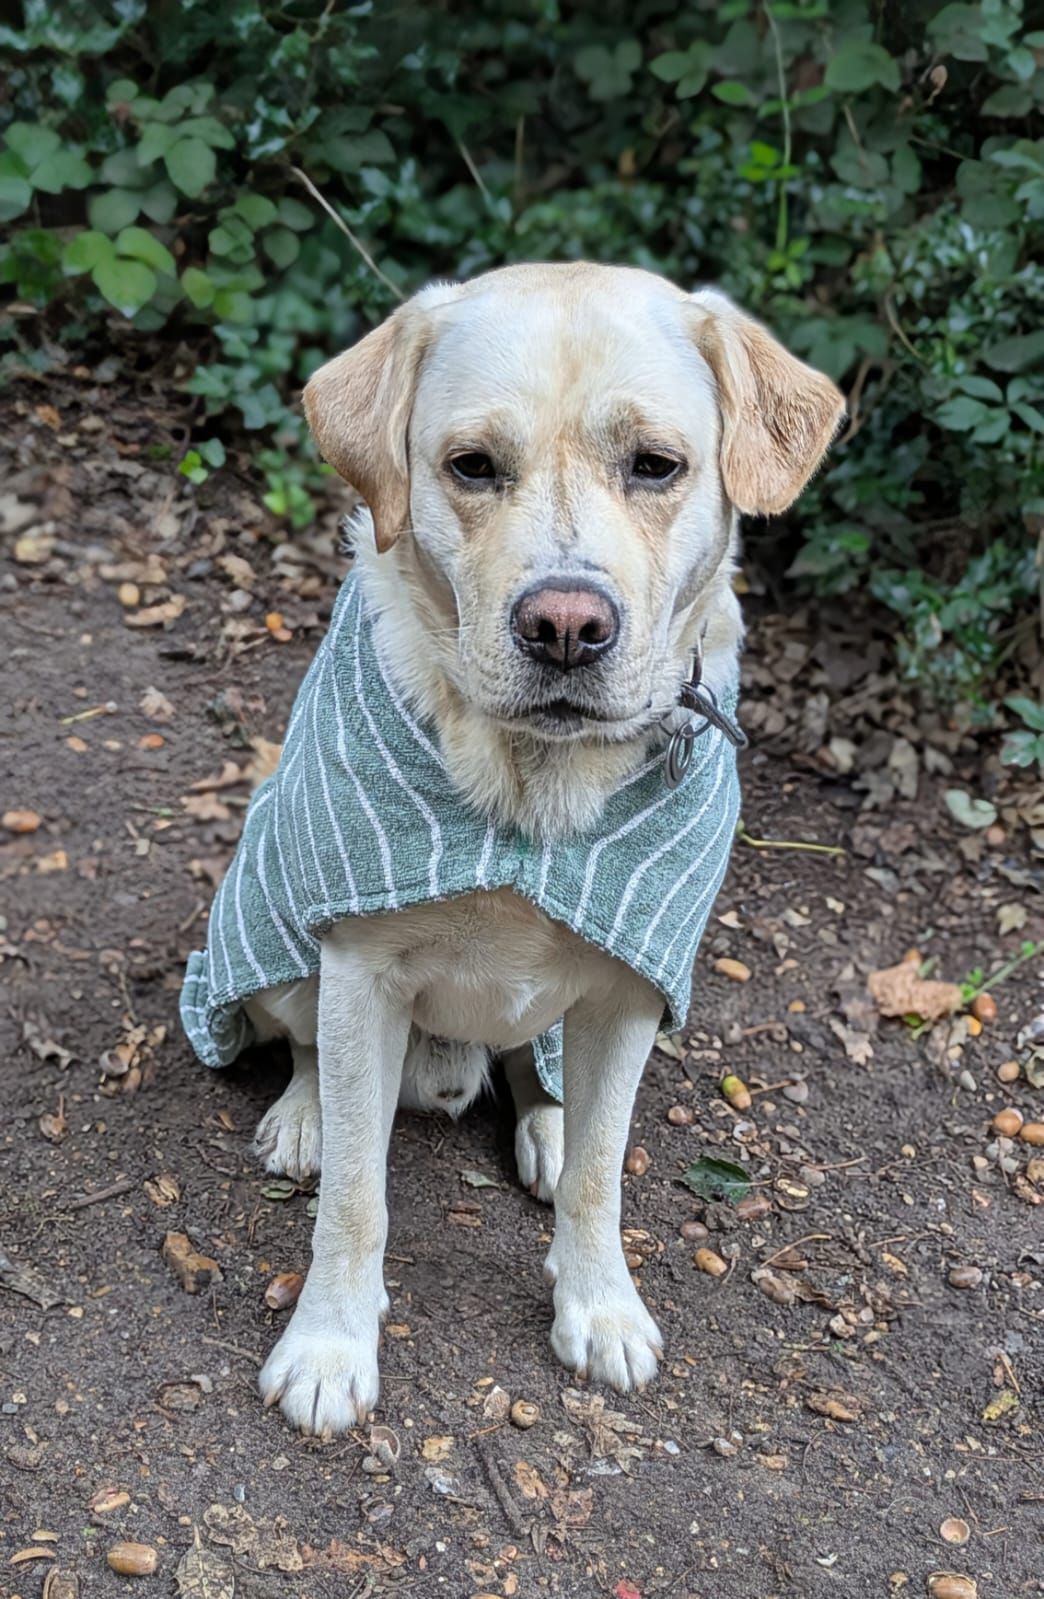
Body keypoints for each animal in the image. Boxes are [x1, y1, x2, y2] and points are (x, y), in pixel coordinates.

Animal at [181, 262, 842, 1436]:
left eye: (656, 465)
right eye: (472, 467)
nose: (567, 626)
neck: (536, 786)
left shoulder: (632, 989)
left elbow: (600, 1177)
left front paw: (601, 1307)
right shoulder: (360, 970)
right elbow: (356, 1196)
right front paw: (329, 1344)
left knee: (545, 1086)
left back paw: (546, 1122)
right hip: (271, 915)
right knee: (304, 1047)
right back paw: (304, 1116)